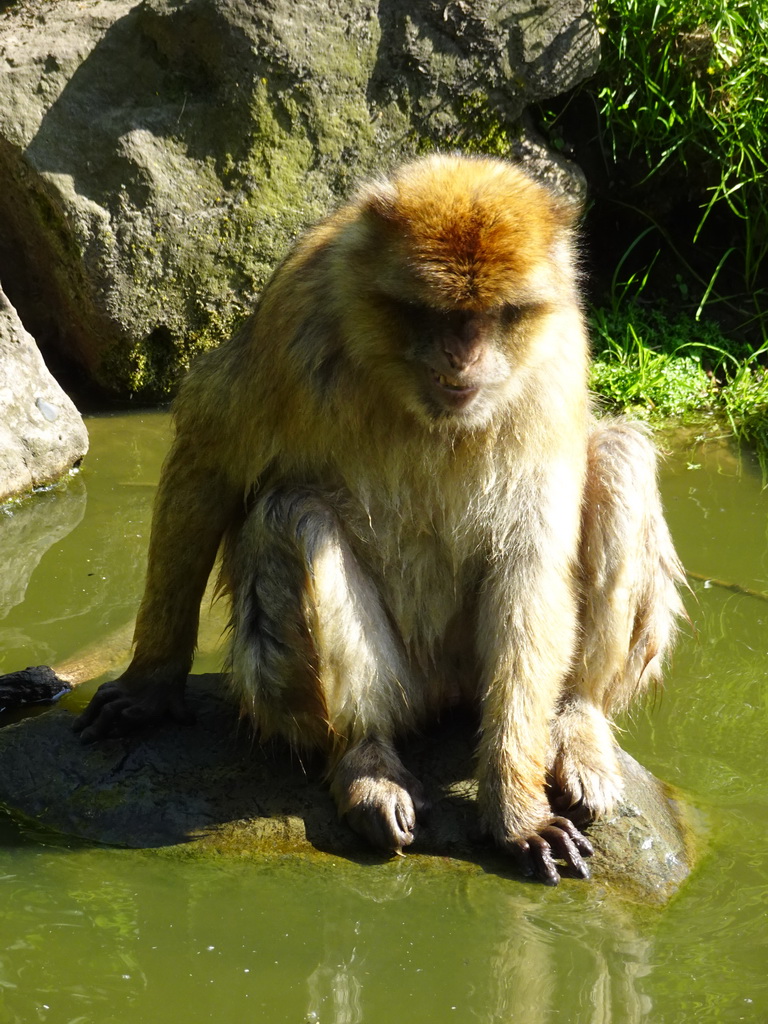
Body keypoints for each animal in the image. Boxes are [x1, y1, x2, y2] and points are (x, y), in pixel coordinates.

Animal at [73, 155, 684, 884]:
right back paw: (365, 760)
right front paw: (151, 684)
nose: (462, 359)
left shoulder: (558, 362)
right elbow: (209, 459)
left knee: (618, 456)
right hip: (372, 687)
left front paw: (514, 808)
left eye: (496, 315)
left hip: (471, 675)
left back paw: (579, 720)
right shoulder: (293, 323)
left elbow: (530, 564)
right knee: (291, 513)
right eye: (436, 314)